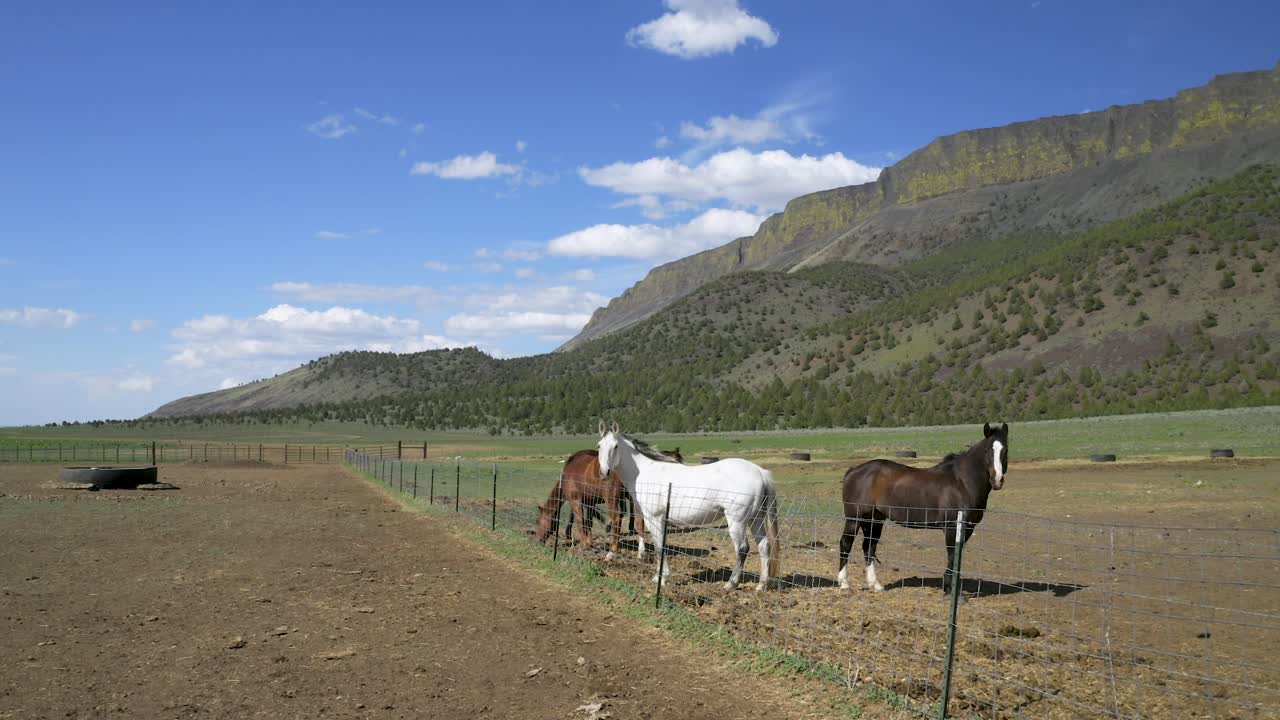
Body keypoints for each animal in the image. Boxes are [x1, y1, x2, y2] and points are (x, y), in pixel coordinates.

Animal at [597, 422, 780, 591]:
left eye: (615, 446)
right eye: (599, 445)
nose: (604, 473)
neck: (645, 472)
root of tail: (760, 472)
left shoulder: (653, 518)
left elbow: (659, 547)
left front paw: (662, 579)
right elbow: (661, 546)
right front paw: (659, 577)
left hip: (737, 521)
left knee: (742, 549)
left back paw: (731, 584)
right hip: (756, 519)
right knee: (764, 545)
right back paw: (761, 585)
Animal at [837, 422, 1008, 596]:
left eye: (1005, 450)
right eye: (987, 450)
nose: (997, 480)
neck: (962, 482)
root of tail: (853, 470)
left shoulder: (968, 528)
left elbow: (956, 557)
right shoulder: (952, 527)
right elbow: (952, 555)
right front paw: (949, 589)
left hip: (875, 519)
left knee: (869, 546)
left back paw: (875, 584)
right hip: (855, 518)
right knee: (846, 543)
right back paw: (844, 583)